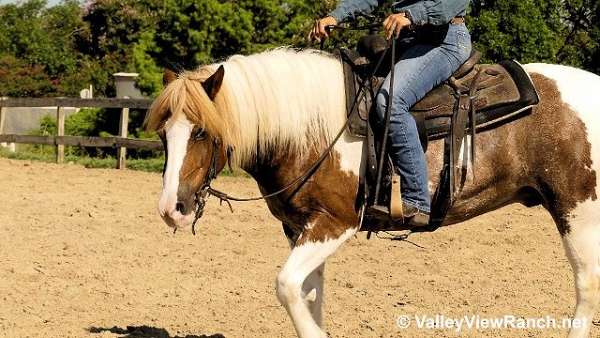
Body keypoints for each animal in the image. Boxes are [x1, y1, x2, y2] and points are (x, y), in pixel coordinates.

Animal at [145, 48, 600, 336]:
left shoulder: (335, 222)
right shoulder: (301, 228)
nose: (172, 208)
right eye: (165, 133)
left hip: (578, 210)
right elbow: (310, 294)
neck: (309, 129)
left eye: (202, 132)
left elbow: (287, 286)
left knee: (586, 284)